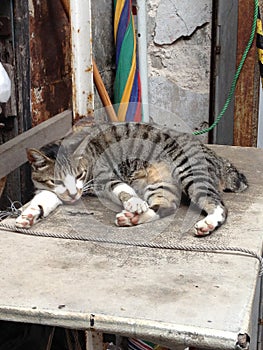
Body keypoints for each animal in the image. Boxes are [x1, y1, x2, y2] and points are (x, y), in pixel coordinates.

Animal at [15, 122, 249, 235]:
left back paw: (208, 224)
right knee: (167, 206)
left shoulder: (104, 175)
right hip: (160, 184)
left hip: (190, 174)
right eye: (57, 181)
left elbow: (121, 189)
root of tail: (216, 156)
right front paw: (29, 216)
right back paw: (133, 218)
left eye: (79, 174)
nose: (74, 195)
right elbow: (42, 201)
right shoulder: (50, 191)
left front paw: (134, 202)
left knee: (219, 205)